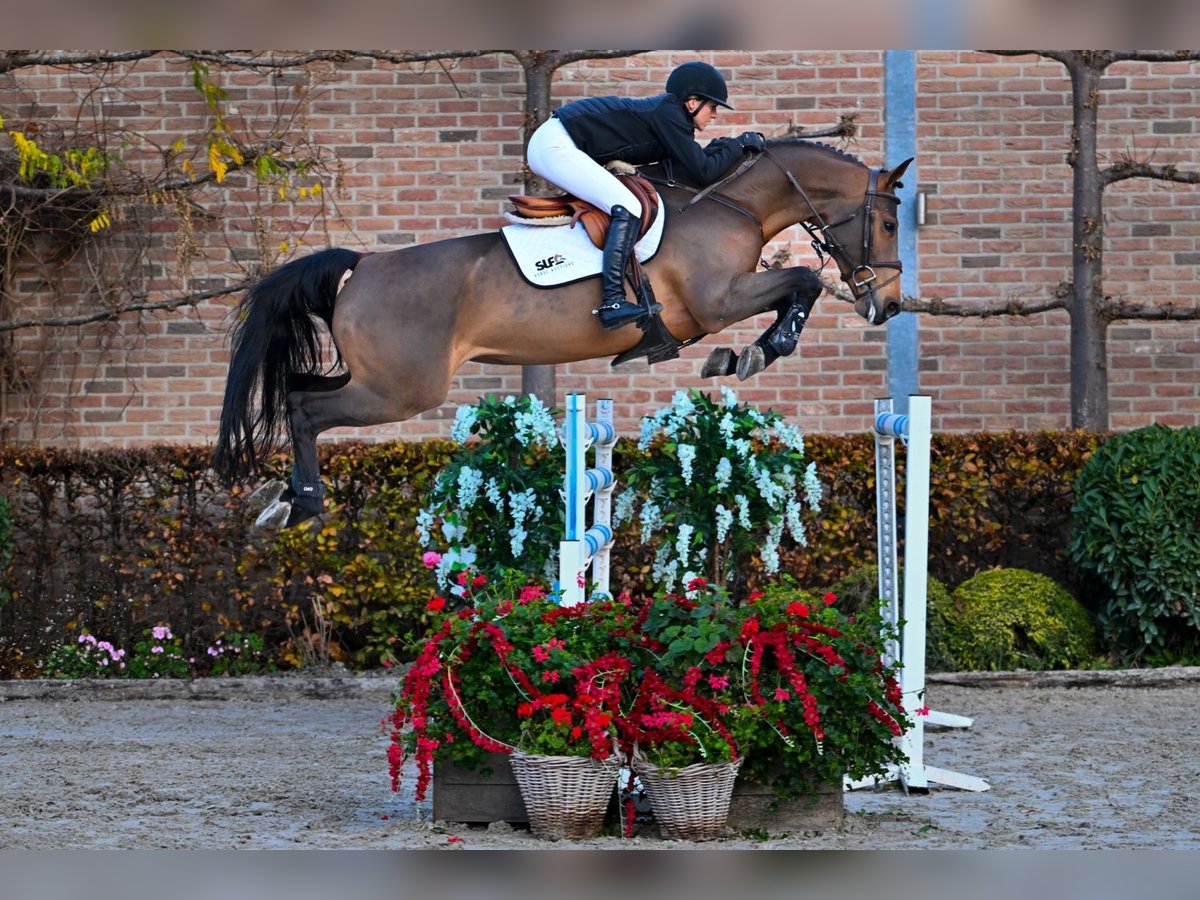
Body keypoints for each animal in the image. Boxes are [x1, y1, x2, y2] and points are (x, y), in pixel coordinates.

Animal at [212, 138, 912, 527]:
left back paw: (283, 499)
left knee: (295, 392)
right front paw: (751, 355)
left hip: (378, 382)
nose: (889, 305)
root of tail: (362, 265)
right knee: (306, 408)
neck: (729, 203)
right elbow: (804, 281)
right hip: (399, 392)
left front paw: (743, 355)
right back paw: (303, 505)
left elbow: (799, 286)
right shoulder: (717, 302)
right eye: (886, 225)